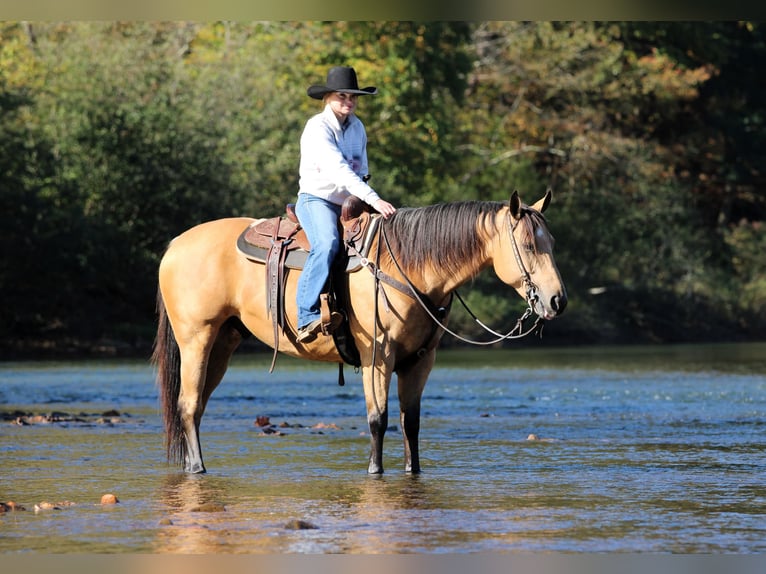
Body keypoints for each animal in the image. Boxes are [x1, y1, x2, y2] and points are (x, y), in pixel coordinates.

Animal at [152, 189, 567, 475]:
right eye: (528, 245)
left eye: (552, 243)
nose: (557, 300)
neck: (409, 267)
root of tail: (175, 245)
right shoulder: (378, 357)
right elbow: (378, 419)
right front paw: (374, 471)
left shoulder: (420, 361)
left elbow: (410, 423)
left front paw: (412, 471)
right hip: (196, 339)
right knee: (188, 404)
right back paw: (197, 468)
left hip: (224, 342)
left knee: (196, 406)